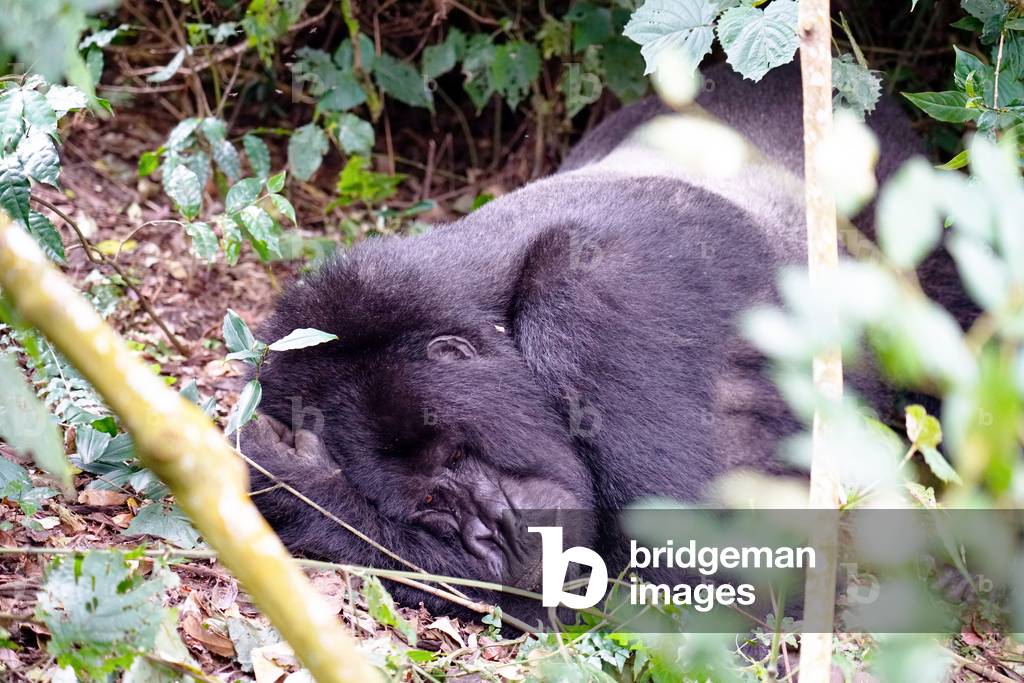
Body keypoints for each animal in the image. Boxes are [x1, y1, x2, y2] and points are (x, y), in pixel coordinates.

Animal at [239, 61, 951, 624]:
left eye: (453, 453)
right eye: (430, 503)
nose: (492, 529)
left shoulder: (597, 293)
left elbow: (701, 583)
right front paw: (293, 481)